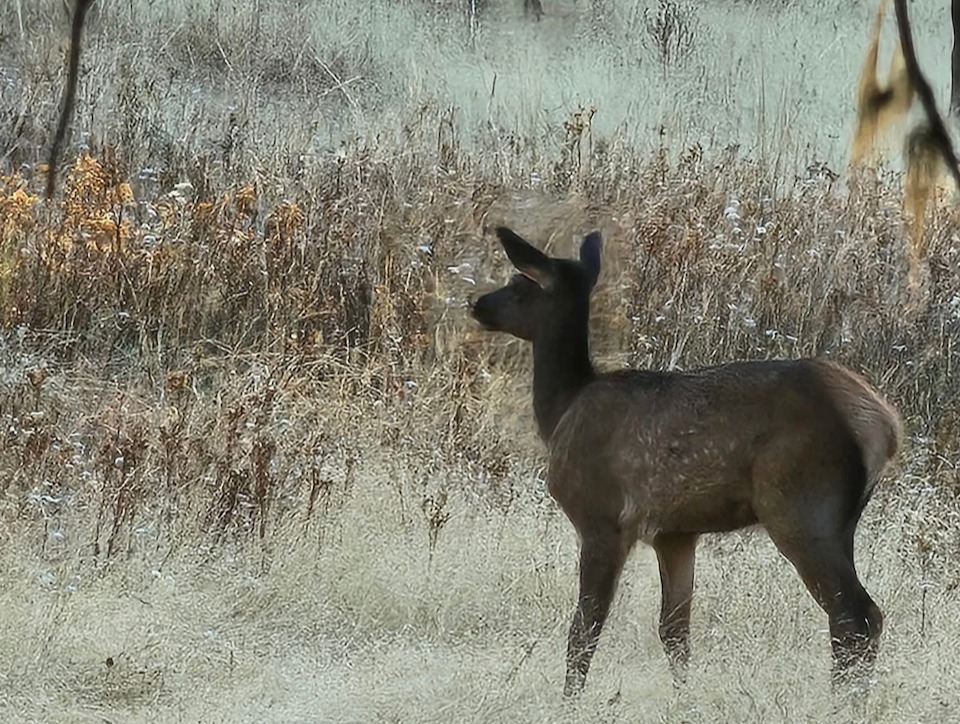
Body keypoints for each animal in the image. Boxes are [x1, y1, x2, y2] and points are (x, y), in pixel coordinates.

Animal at [471, 226, 902, 696]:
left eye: (518, 285)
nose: (477, 304)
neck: (562, 409)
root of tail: (884, 427)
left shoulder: (602, 518)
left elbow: (585, 629)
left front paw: (569, 700)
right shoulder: (675, 533)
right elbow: (675, 631)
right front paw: (682, 699)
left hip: (800, 507)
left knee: (855, 614)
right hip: (841, 524)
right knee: (860, 617)